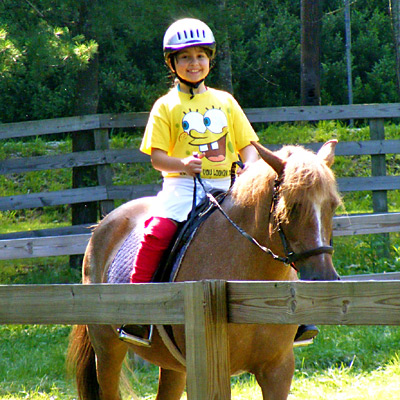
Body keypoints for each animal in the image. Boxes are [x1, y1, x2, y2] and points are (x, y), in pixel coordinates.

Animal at [68, 141, 340, 400]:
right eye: (292, 206)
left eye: (333, 206)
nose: (324, 279)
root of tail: (103, 223)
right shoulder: (209, 369)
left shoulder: (278, 370)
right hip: (107, 350)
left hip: (173, 366)